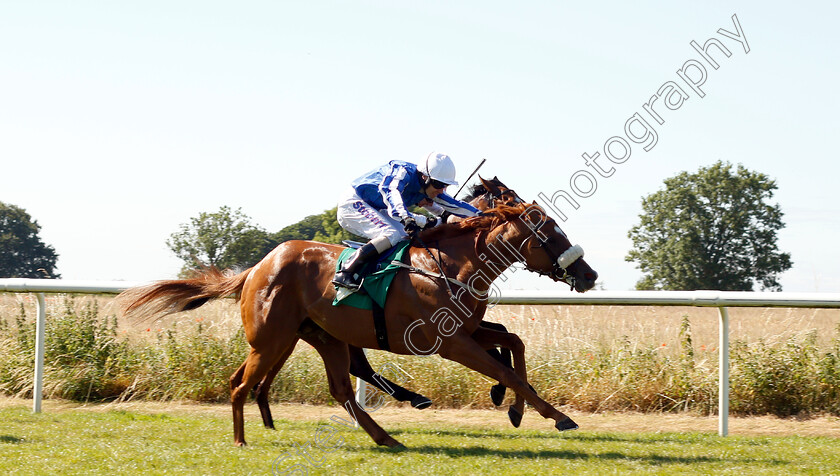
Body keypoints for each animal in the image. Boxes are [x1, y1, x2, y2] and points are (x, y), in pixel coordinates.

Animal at [120, 192, 596, 446]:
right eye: (549, 232)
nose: (589, 275)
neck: (448, 264)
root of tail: (256, 268)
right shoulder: (451, 343)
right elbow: (506, 369)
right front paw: (555, 415)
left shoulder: (468, 330)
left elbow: (512, 343)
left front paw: (516, 408)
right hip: (272, 339)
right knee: (244, 384)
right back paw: (241, 439)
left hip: (319, 337)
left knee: (340, 389)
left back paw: (386, 437)